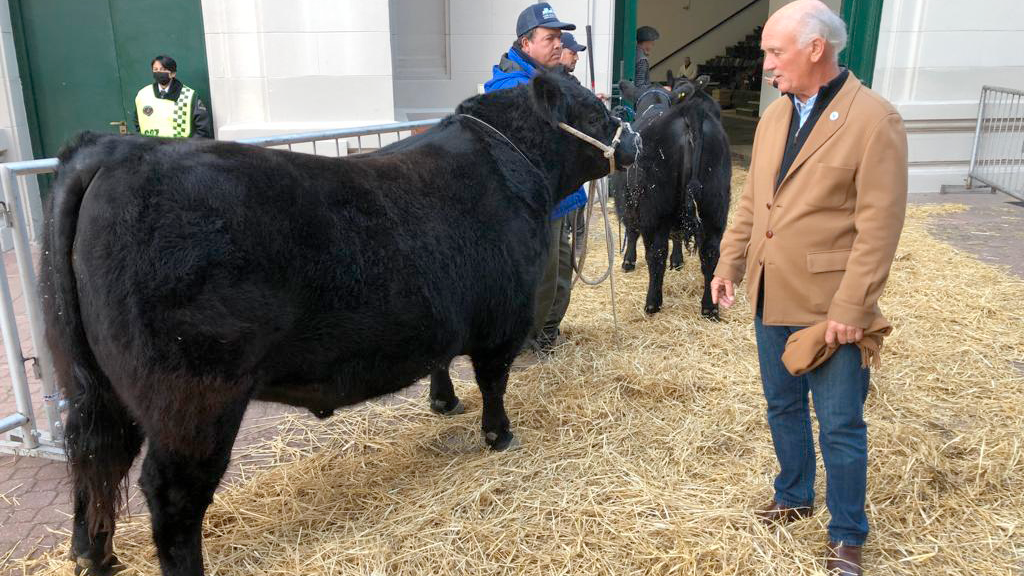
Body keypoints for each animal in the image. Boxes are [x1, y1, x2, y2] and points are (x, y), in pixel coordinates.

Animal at [44, 71, 634, 573]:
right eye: (593, 108)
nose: (632, 143)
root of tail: (116, 151)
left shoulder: (442, 312)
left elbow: (441, 359)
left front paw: (443, 402)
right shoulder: (502, 320)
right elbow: (493, 382)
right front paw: (499, 435)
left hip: (93, 384)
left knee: (93, 453)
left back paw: (93, 555)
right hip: (193, 396)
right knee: (170, 495)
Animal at [606, 72, 729, 315]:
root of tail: (691, 113)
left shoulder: (628, 202)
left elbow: (632, 231)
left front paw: (628, 261)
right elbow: (678, 235)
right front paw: (678, 261)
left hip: (655, 209)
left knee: (656, 253)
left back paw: (652, 302)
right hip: (715, 207)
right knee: (711, 254)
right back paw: (709, 307)